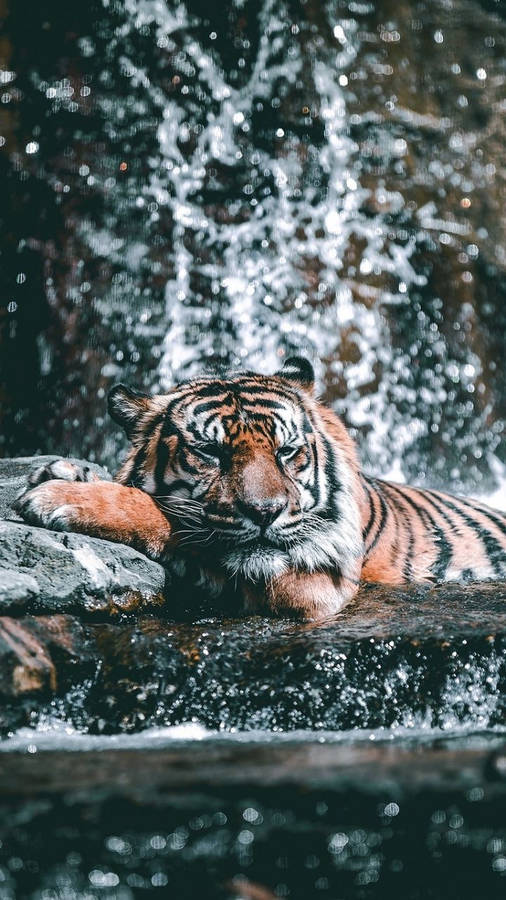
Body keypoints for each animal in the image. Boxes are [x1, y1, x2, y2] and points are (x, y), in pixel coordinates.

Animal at [13, 357, 506, 620]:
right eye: (210, 451)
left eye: (287, 452)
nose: (266, 512)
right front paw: (63, 472)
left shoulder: (319, 580)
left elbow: (172, 518)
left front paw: (60, 496)